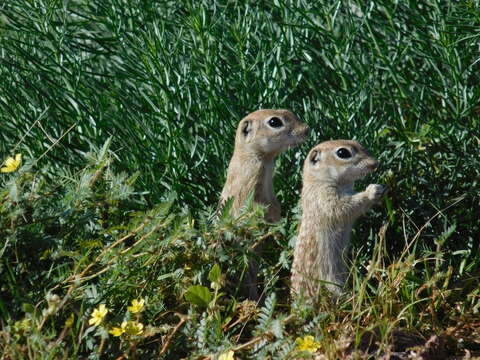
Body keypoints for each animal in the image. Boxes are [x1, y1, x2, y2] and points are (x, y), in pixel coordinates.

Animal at [219, 109, 310, 300]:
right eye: (274, 122)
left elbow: (274, 205)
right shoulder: (251, 185)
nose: (307, 129)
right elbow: (259, 209)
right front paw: (278, 227)